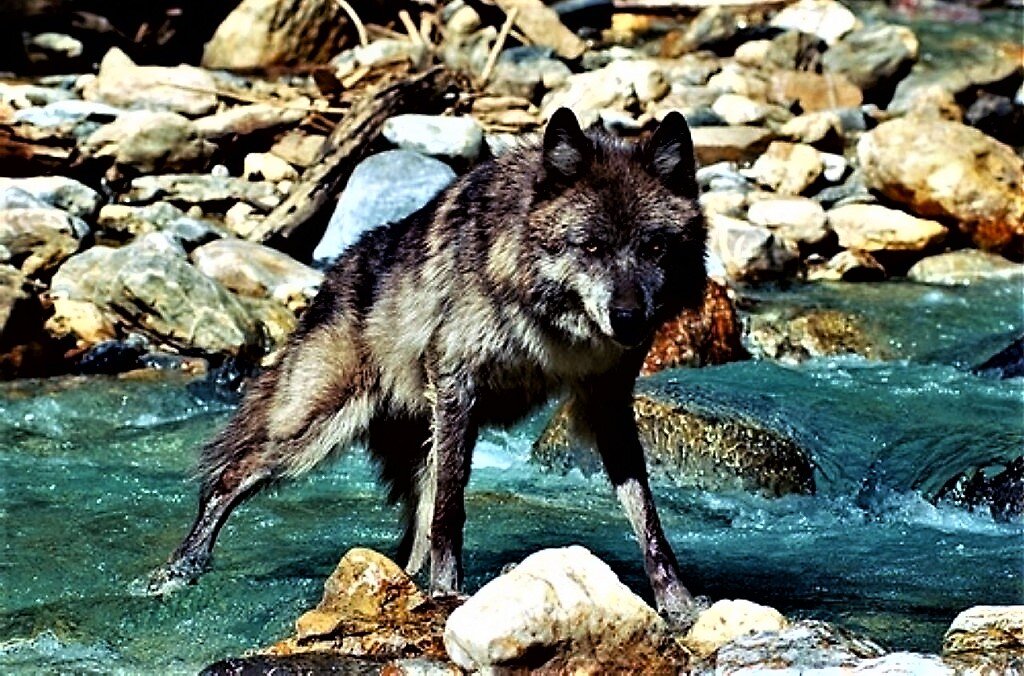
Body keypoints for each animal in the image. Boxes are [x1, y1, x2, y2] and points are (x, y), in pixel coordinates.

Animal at [149, 105, 704, 618]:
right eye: (590, 246)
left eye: (655, 248)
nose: (628, 319)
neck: (552, 325)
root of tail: (330, 280)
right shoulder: (457, 383)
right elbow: (451, 508)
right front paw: (448, 593)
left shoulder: (608, 402)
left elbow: (647, 516)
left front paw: (679, 605)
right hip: (314, 430)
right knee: (227, 476)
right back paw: (178, 572)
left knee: (410, 538)